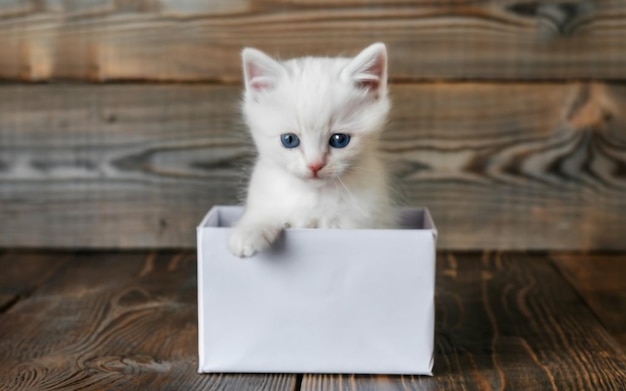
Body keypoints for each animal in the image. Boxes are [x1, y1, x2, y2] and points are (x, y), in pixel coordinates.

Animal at [229, 43, 394, 258]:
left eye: (339, 140)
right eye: (289, 140)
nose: (315, 165)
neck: (314, 196)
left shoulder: (367, 218)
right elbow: (265, 214)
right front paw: (248, 231)